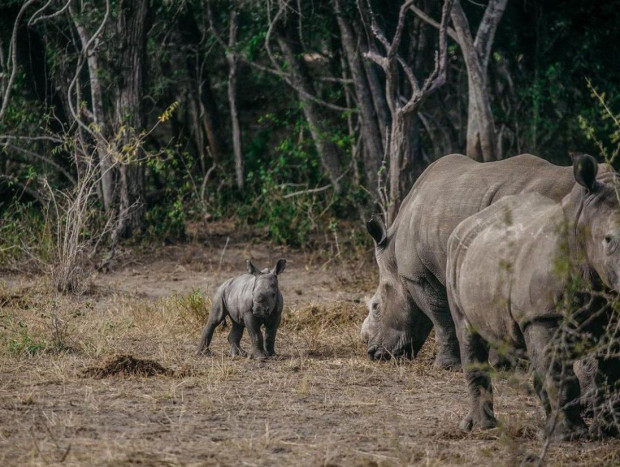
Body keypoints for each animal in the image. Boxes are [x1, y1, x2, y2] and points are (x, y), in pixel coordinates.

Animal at [448, 154, 616, 442]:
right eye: (608, 240)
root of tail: (469, 220)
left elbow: (610, 373)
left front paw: (608, 431)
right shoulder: (543, 315)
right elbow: (560, 373)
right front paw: (570, 436)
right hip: (455, 252)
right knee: (468, 332)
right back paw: (483, 427)